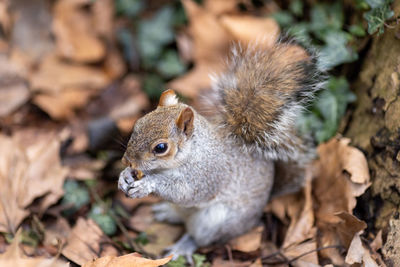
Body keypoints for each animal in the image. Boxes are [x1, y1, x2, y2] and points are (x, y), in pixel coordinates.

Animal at [118, 42, 322, 264]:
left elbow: (185, 192)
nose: (126, 160)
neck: (194, 152)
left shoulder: (208, 174)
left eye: (161, 148)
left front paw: (147, 185)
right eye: (138, 124)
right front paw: (124, 176)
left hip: (213, 220)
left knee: (198, 236)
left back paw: (182, 247)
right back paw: (167, 211)